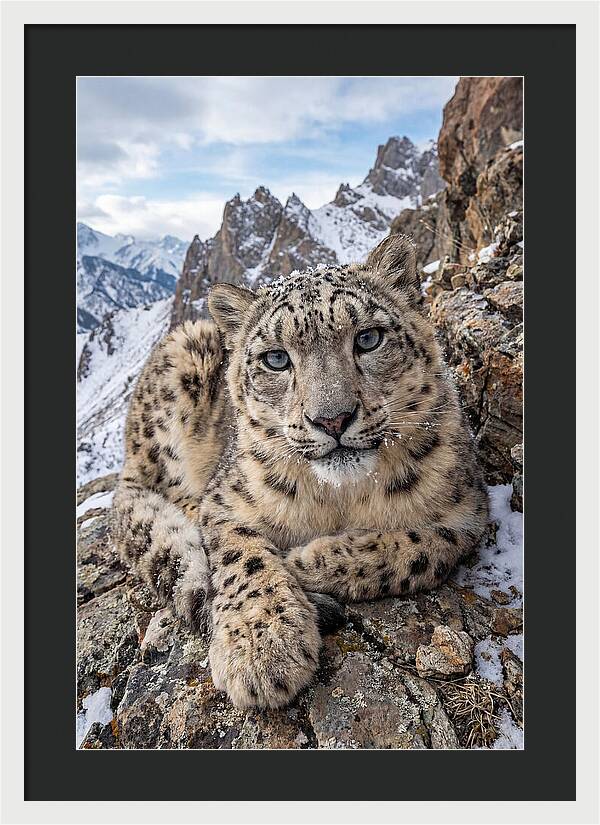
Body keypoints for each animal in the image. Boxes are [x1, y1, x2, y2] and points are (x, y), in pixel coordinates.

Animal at [112, 234, 489, 709]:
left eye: (368, 338)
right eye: (276, 359)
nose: (332, 419)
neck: (340, 498)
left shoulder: (467, 511)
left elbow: (419, 549)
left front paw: (306, 561)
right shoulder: (226, 501)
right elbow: (243, 557)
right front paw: (262, 648)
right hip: (177, 374)